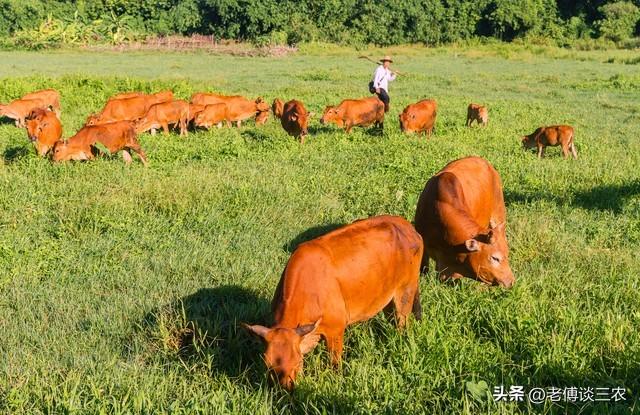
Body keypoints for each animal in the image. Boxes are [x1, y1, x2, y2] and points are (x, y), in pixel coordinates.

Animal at [242, 216, 422, 392]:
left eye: (298, 362)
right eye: (267, 363)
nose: (285, 389)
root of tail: (409, 228)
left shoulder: (336, 330)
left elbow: (335, 364)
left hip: (405, 291)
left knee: (402, 324)